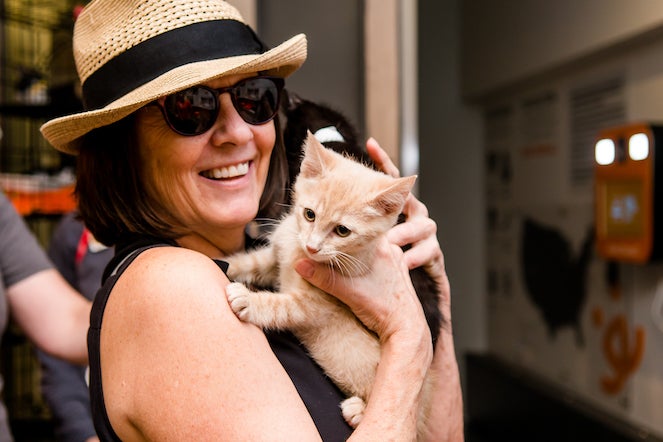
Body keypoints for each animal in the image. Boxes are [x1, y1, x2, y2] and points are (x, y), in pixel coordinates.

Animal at [224, 132, 430, 436]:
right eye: (309, 214)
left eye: (342, 231)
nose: (312, 247)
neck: (299, 254)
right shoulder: (276, 258)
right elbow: (253, 262)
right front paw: (223, 261)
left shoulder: (315, 305)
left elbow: (281, 307)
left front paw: (248, 300)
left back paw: (358, 410)